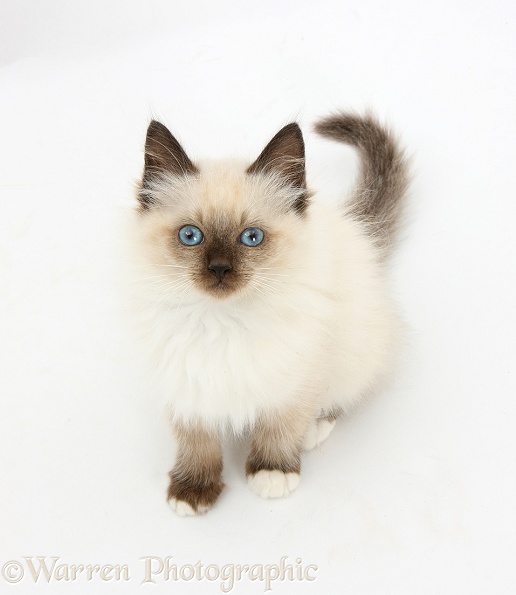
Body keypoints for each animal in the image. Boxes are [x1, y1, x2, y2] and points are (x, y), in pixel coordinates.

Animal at [131, 112, 410, 516]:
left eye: (251, 238)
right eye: (190, 236)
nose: (219, 269)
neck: (223, 323)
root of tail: (356, 229)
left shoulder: (299, 374)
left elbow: (281, 427)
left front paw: (272, 473)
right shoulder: (188, 382)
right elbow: (198, 442)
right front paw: (193, 489)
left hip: (354, 346)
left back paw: (313, 430)